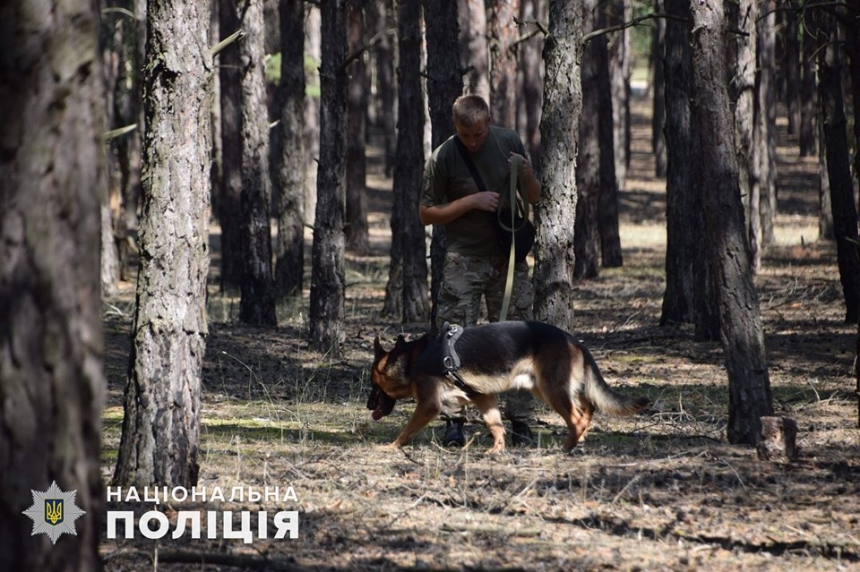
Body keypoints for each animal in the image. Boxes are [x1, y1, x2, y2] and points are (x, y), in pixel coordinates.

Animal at [366, 320, 648, 454]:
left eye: (373, 384)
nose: (368, 406)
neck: (413, 359)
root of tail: (573, 340)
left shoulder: (428, 405)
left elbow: (406, 429)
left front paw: (392, 445)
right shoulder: (484, 398)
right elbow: (495, 425)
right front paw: (497, 450)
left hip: (552, 390)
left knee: (577, 417)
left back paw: (567, 446)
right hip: (545, 388)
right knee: (587, 405)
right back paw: (580, 438)